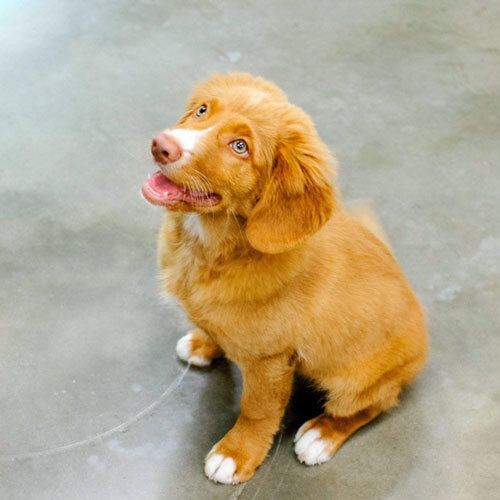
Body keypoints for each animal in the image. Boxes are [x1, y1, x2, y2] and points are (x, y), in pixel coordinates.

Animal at [142, 72, 430, 482]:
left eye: (240, 146)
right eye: (202, 110)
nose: (162, 145)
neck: (211, 246)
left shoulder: (270, 361)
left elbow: (256, 411)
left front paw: (236, 454)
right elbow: (214, 325)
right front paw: (204, 342)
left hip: (352, 381)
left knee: (376, 404)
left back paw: (321, 434)